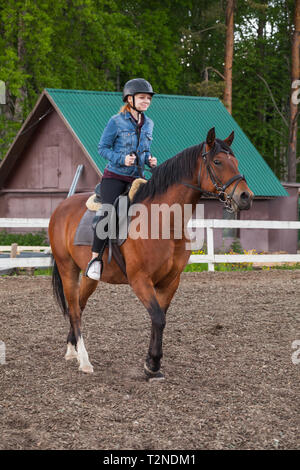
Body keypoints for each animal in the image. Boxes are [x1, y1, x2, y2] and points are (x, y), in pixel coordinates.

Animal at [48, 126, 253, 380]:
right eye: (217, 161)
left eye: (236, 161)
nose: (246, 196)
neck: (163, 221)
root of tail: (61, 208)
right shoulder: (140, 280)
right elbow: (157, 317)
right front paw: (153, 364)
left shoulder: (170, 282)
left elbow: (160, 319)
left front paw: (151, 365)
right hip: (67, 269)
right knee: (75, 310)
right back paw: (85, 361)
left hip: (89, 277)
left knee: (79, 305)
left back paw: (72, 350)